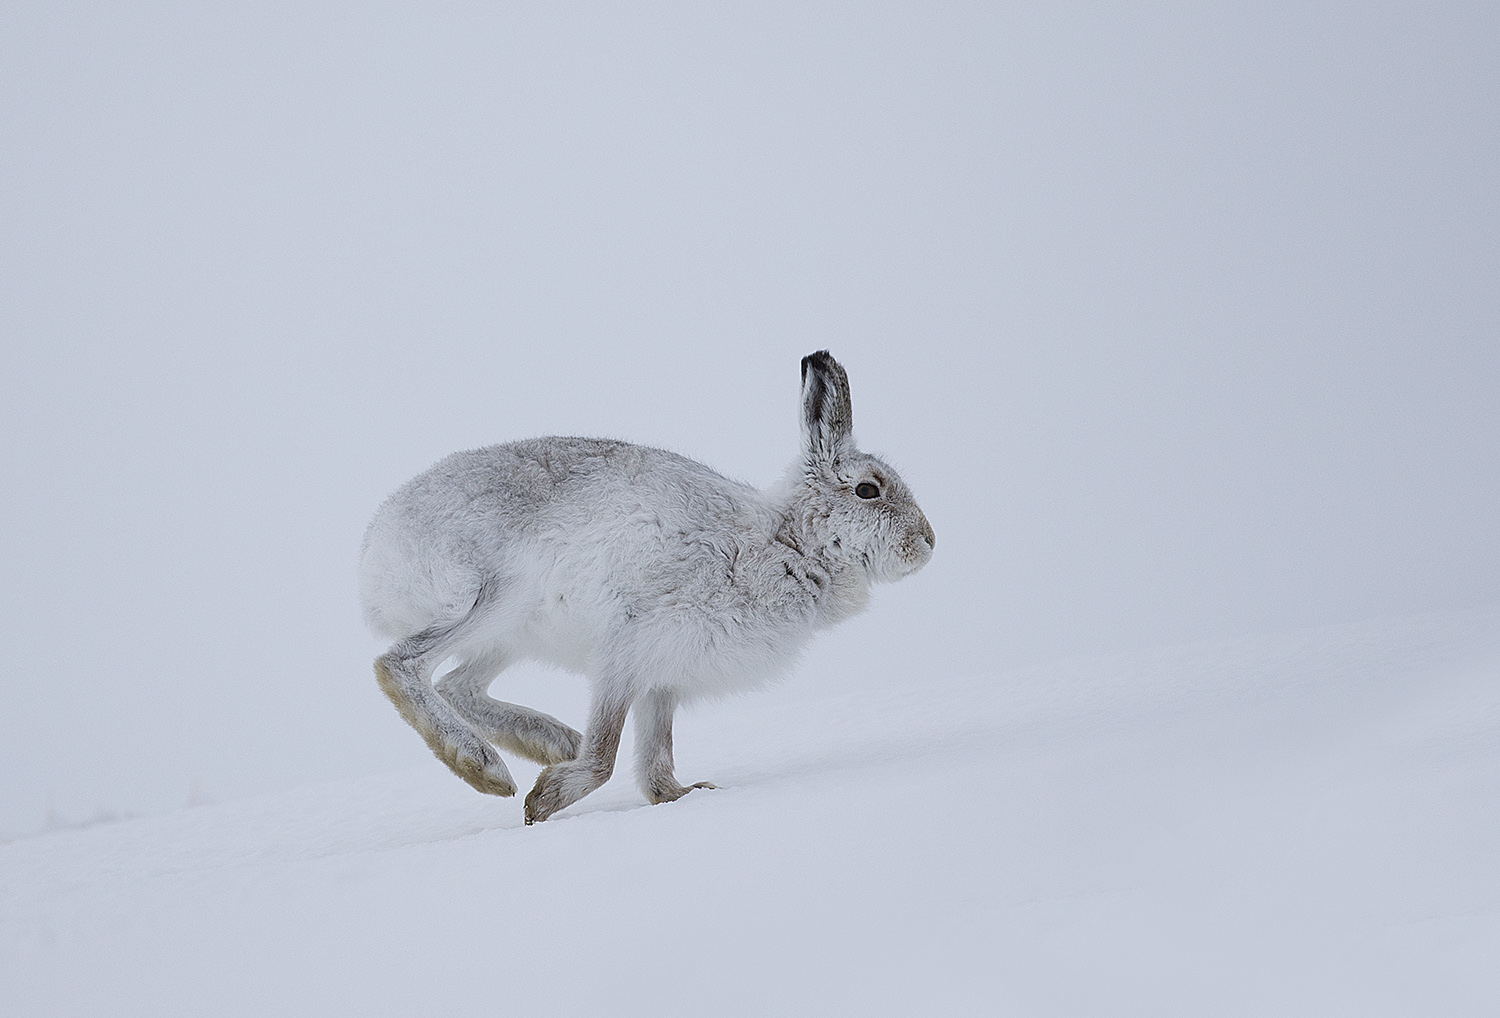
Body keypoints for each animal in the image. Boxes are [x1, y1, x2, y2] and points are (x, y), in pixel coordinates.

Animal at [359, 350, 934, 823]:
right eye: (868, 491)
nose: (928, 542)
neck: (788, 542)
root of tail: (378, 551)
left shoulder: (665, 676)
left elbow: (657, 754)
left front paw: (685, 795)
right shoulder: (629, 647)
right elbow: (606, 754)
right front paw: (544, 802)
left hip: (509, 636)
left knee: (459, 685)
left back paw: (553, 742)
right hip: (495, 599)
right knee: (400, 666)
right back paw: (486, 768)